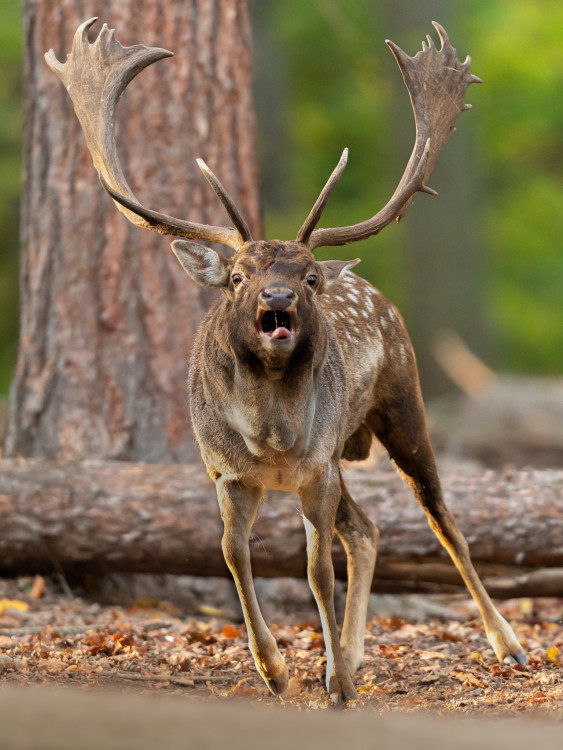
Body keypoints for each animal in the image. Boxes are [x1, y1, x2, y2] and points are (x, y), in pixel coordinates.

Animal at [47, 19, 528, 712]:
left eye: (307, 276)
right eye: (237, 276)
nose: (277, 300)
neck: (270, 440)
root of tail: (375, 291)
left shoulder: (314, 468)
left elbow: (316, 570)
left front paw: (334, 683)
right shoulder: (227, 472)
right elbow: (232, 554)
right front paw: (278, 670)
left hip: (400, 405)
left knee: (442, 522)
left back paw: (506, 644)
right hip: (344, 455)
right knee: (367, 527)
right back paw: (353, 652)